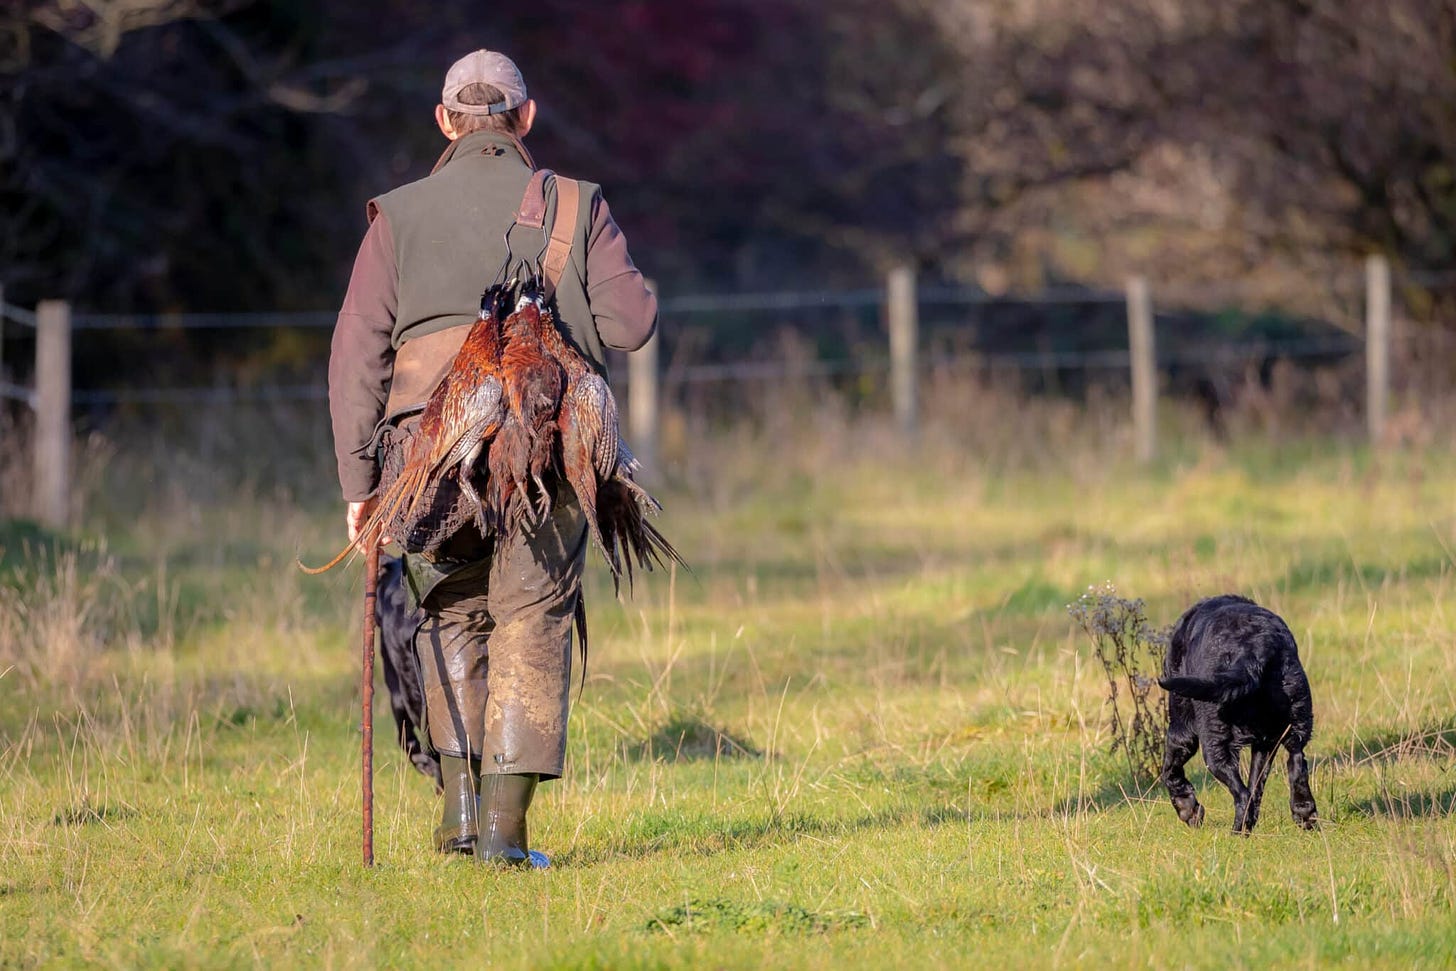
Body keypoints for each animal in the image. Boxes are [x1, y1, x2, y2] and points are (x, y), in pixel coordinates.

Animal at [1158, 596, 1322, 832]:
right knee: (1295, 763)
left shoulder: (1181, 731)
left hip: (1212, 738)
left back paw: (1237, 831)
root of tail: (1251, 652)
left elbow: (1169, 770)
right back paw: (1304, 814)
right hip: (1295, 721)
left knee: (1242, 794)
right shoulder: (1265, 744)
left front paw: (1188, 809)